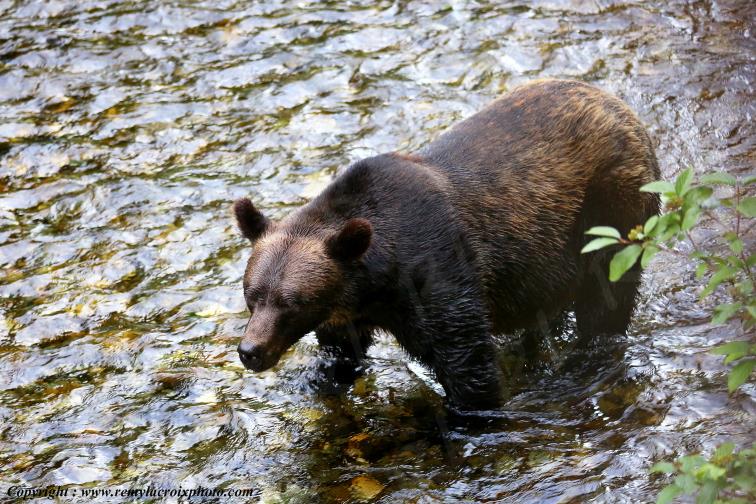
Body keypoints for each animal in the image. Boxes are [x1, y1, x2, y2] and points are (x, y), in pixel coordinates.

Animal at [232, 79, 660, 410]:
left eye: (292, 302)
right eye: (252, 295)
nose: (250, 351)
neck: (376, 284)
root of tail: (623, 108)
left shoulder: (437, 272)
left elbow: (466, 361)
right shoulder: (349, 312)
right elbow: (342, 349)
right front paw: (324, 377)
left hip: (610, 212)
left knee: (606, 297)